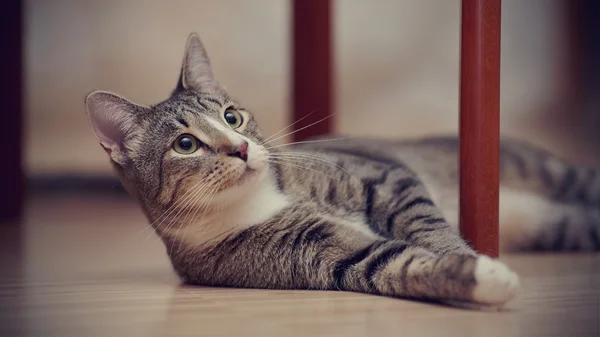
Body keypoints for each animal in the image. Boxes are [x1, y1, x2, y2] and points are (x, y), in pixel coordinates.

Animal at [85, 32, 600, 306]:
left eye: (232, 117)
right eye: (186, 144)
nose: (240, 149)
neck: (262, 199)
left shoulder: (384, 179)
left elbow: (427, 226)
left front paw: (466, 255)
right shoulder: (328, 256)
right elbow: (398, 262)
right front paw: (480, 278)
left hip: (540, 169)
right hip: (555, 225)